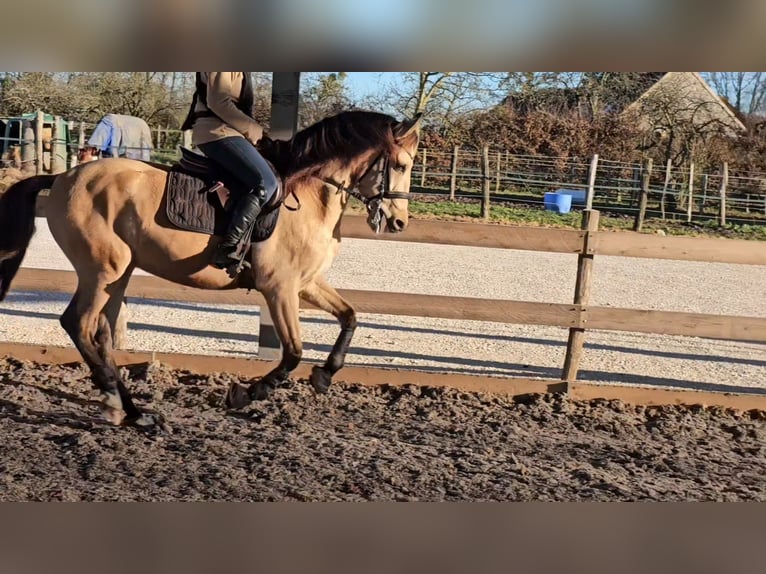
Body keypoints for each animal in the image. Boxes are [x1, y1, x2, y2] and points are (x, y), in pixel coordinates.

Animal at [0, 110, 424, 430]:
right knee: (79, 324)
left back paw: (134, 413)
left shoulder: (307, 283)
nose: (399, 222)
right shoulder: (279, 288)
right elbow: (292, 352)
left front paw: (325, 374)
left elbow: (350, 317)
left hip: (117, 275)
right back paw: (118, 404)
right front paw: (247, 394)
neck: (310, 196)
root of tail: (64, 176)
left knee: (101, 334)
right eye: (401, 165)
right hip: (102, 270)